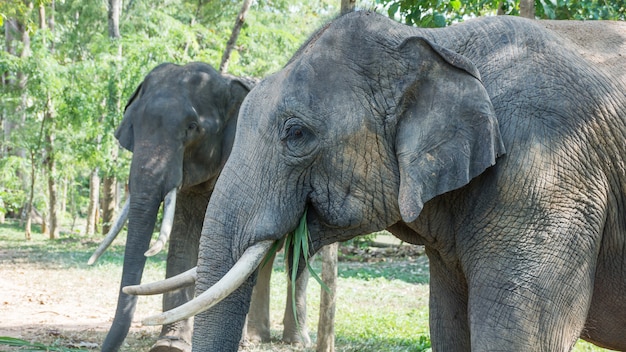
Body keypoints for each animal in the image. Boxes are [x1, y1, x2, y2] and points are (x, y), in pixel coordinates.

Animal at [91, 62, 308, 352]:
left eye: (192, 127)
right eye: (133, 126)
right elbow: (184, 237)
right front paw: (169, 346)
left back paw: (295, 341)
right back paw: (256, 338)